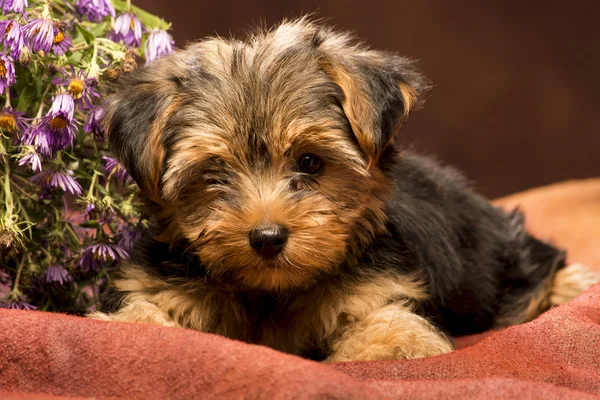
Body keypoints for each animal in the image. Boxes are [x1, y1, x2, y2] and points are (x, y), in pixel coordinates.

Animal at [90, 18, 600, 360]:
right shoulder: (163, 284)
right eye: (214, 173)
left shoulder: (378, 293)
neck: (271, 293)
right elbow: (143, 318)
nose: (267, 238)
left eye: (309, 163)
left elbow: (389, 337)